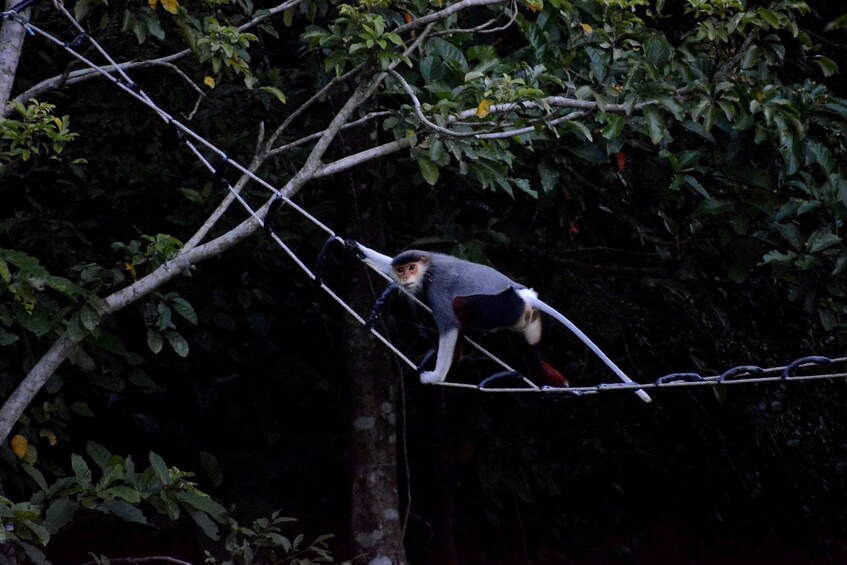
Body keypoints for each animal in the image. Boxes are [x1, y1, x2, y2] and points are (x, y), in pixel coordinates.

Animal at [346, 241, 652, 402]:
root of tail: (523, 294)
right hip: (529, 321)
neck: (428, 267)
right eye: (401, 269)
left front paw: (435, 377)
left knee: (461, 309)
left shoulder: (438, 290)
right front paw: (356, 248)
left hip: (500, 307)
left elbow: (448, 326)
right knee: (532, 356)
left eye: (411, 268)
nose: (406, 277)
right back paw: (562, 386)